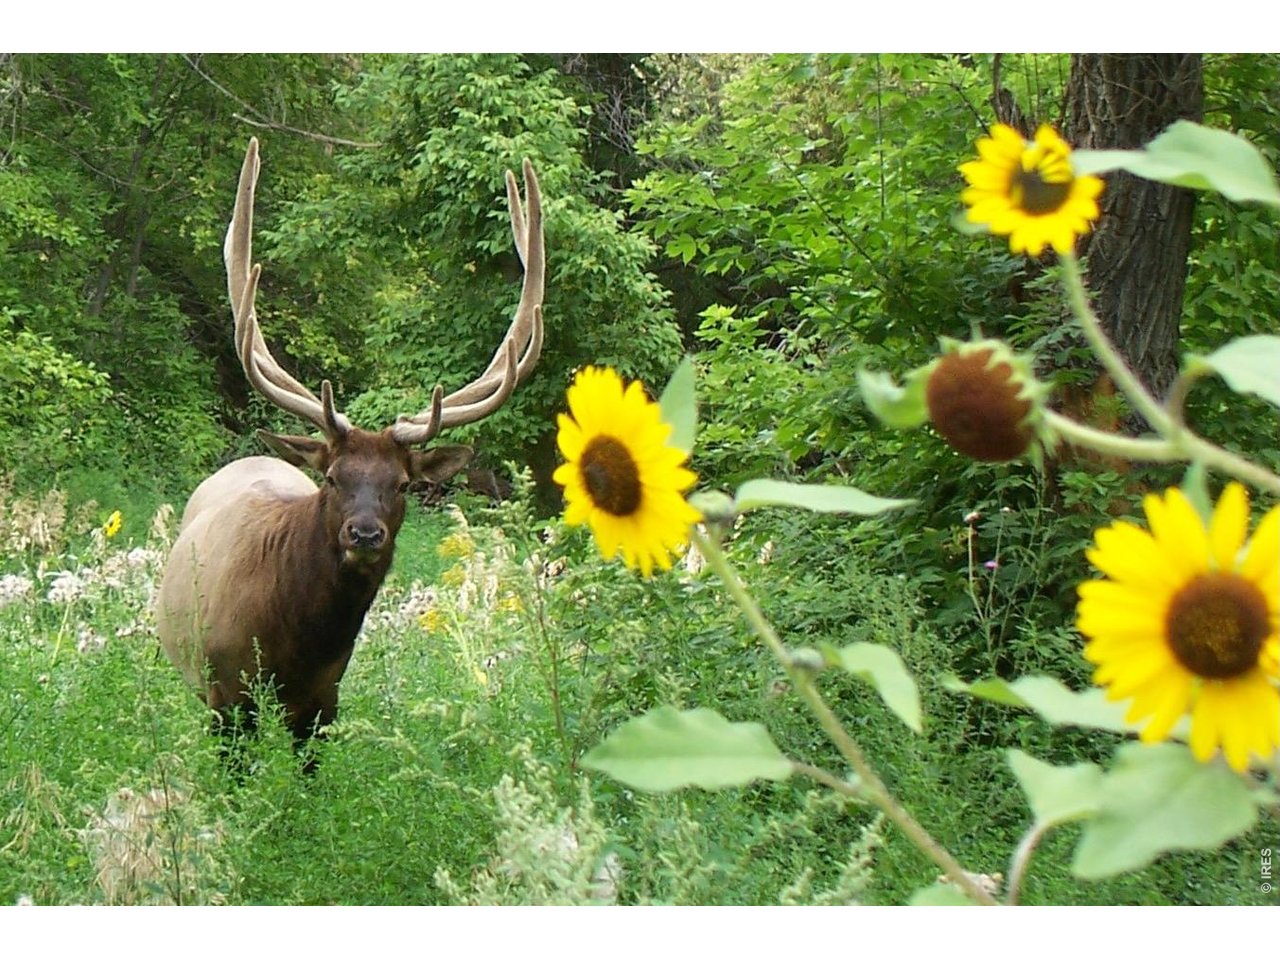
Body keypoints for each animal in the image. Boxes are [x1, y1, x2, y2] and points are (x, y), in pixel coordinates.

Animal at [155, 138, 544, 764]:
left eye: (403, 484)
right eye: (334, 477)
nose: (364, 533)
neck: (292, 643)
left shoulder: (324, 699)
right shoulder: (225, 693)